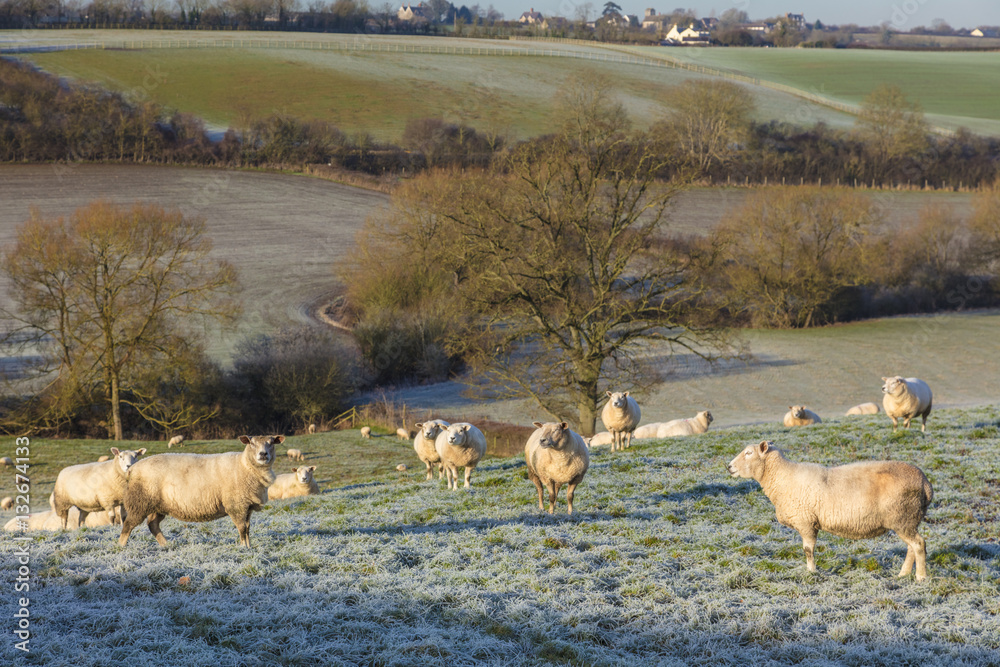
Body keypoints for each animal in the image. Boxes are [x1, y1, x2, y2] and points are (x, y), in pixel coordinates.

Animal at [118, 434, 282, 548]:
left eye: (271, 443)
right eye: (252, 443)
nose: (263, 454)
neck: (245, 465)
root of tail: (132, 469)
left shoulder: (246, 506)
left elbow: (247, 529)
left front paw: (249, 547)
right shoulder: (236, 505)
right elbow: (242, 529)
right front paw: (244, 548)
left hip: (158, 505)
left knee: (153, 525)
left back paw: (166, 545)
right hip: (139, 502)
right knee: (128, 525)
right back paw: (121, 546)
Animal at [727, 440, 933, 581]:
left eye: (748, 453)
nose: (728, 466)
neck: (782, 478)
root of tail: (925, 483)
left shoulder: (806, 522)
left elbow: (808, 550)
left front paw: (811, 572)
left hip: (902, 517)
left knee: (919, 545)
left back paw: (921, 577)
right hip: (907, 519)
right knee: (911, 547)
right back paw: (903, 574)